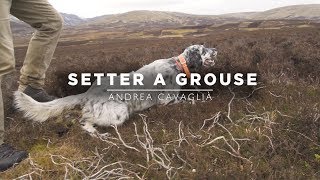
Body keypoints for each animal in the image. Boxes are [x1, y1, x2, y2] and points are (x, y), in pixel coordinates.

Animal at [15, 44, 219, 135]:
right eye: (204, 49)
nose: (216, 50)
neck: (177, 65)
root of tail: (88, 93)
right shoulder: (166, 100)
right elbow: (188, 100)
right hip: (119, 112)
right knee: (85, 120)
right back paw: (97, 133)